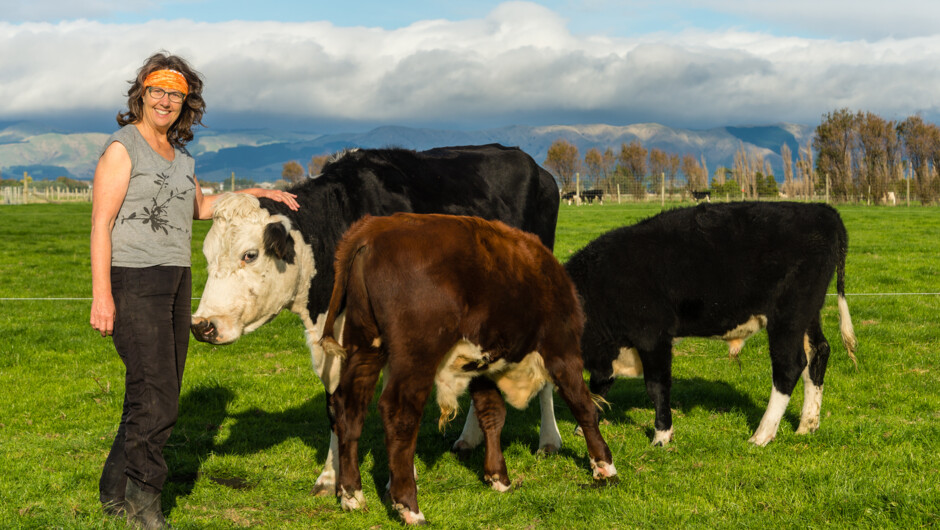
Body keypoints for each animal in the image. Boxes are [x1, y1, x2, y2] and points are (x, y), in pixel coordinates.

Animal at [187, 143, 560, 490]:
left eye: (249, 255)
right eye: (206, 256)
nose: (203, 325)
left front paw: (400, 480)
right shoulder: (330, 339)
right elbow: (335, 406)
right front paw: (330, 478)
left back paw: (549, 440)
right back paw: (469, 438)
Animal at [320, 212, 620, 520]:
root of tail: (372, 229)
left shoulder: (481, 366)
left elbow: (492, 414)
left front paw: (497, 476)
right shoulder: (562, 352)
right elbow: (583, 405)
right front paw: (604, 465)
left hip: (364, 346)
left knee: (350, 409)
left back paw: (351, 495)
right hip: (417, 355)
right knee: (399, 413)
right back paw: (409, 506)